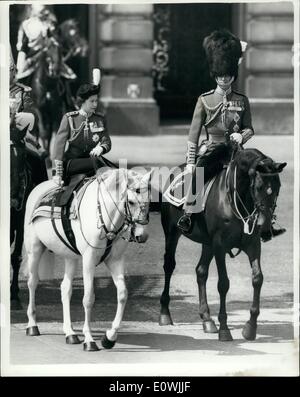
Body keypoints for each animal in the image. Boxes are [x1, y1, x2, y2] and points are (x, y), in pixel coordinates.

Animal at [23, 166, 152, 350]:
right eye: (132, 202)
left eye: (150, 201)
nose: (143, 236)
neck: (106, 216)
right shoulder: (89, 261)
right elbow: (89, 298)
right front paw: (90, 340)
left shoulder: (115, 261)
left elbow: (122, 294)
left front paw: (109, 337)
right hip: (34, 249)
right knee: (33, 282)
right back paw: (32, 325)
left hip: (70, 257)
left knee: (65, 288)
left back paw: (70, 333)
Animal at [159, 146, 286, 340]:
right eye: (258, 187)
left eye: (278, 187)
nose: (264, 227)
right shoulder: (220, 246)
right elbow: (223, 284)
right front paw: (225, 329)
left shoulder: (253, 245)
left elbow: (258, 279)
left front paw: (250, 327)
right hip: (172, 233)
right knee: (169, 266)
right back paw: (165, 313)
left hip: (207, 243)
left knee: (201, 271)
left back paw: (207, 319)